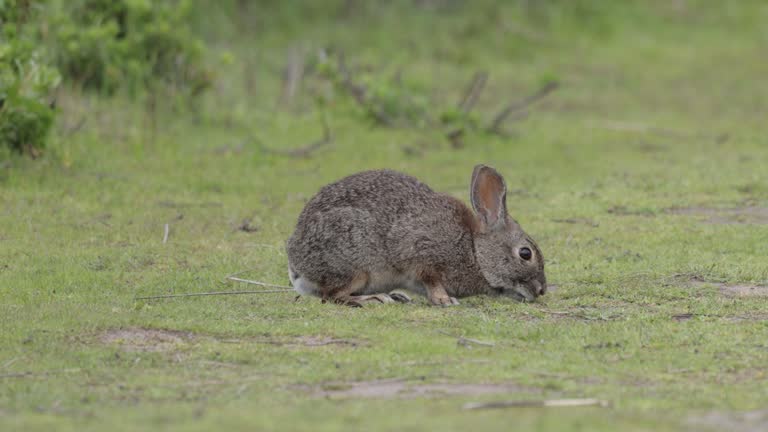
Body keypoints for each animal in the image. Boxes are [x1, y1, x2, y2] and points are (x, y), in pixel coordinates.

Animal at [286, 163, 544, 308]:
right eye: (525, 253)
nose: (542, 290)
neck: (473, 249)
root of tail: (298, 266)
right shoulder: (421, 254)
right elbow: (431, 280)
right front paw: (444, 300)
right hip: (355, 263)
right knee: (332, 295)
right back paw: (373, 299)